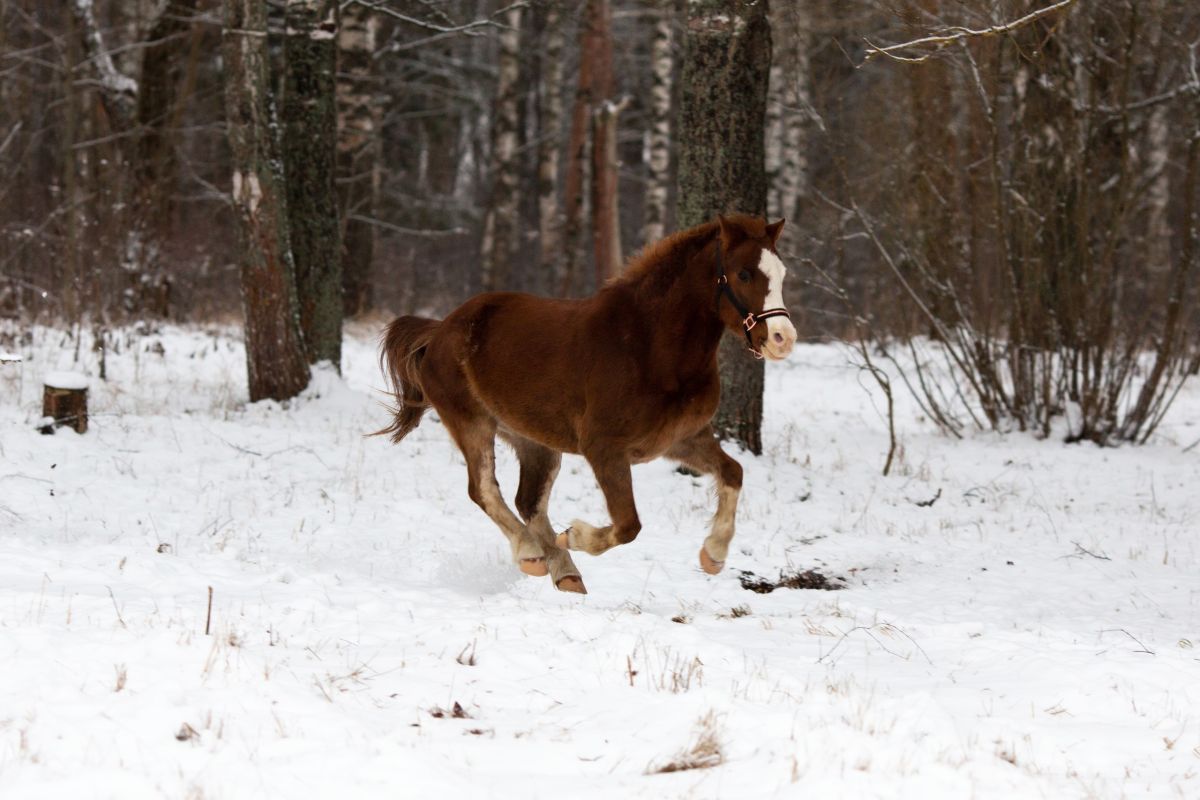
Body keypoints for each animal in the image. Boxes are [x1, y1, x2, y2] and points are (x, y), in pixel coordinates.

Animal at [377, 213, 797, 594]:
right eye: (744, 274)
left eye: (782, 274)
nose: (783, 338)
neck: (650, 347)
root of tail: (440, 329)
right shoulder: (604, 448)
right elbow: (628, 525)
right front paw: (576, 534)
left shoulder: (683, 439)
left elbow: (733, 473)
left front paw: (713, 555)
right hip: (471, 421)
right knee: (483, 489)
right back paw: (532, 554)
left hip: (535, 441)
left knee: (528, 502)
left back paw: (565, 574)